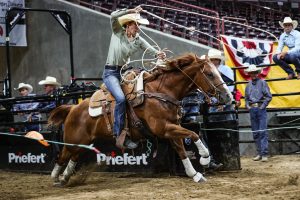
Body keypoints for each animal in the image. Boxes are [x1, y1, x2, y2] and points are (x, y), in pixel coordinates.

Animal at [49, 52, 233, 186]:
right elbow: (193, 134)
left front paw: (194, 174)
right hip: (73, 140)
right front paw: (205, 157)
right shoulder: (164, 128)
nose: (228, 96)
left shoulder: (172, 128)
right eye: (210, 74)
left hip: (83, 142)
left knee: (72, 157)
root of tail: (73, 108)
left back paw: (64, 178)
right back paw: (55, 177)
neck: (162, 91)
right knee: (62, 156)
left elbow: (182, 149)